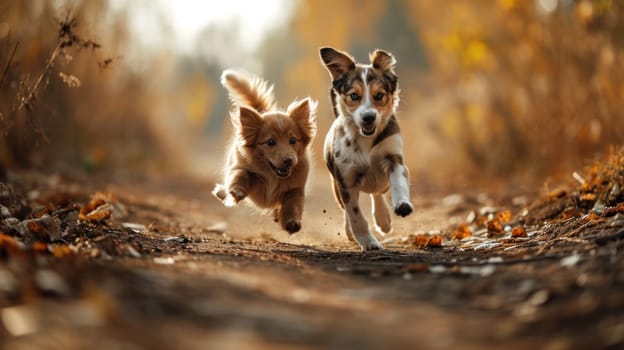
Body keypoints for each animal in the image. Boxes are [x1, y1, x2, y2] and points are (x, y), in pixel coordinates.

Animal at [213, 68, 316, 234]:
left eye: (293, 140)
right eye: (270, 142)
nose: (289, 160)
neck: (273, 176)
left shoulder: (297, 189)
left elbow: (293, 204)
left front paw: (292, 222)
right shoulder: (240, 166)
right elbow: (241, 175)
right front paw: (237, 191)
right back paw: (222, 192)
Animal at [320, 46, 412, 250]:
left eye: (379, 95)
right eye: (354, 96)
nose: (368, 117)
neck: (365, 141)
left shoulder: (394, 157)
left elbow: (399, 182)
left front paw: (402, 204)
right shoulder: (345, 180)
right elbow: (355, 216)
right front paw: (368, 242)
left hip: (381, 181)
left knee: (378, 192)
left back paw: (383, 219)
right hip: (337, 187)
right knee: (347, 209)